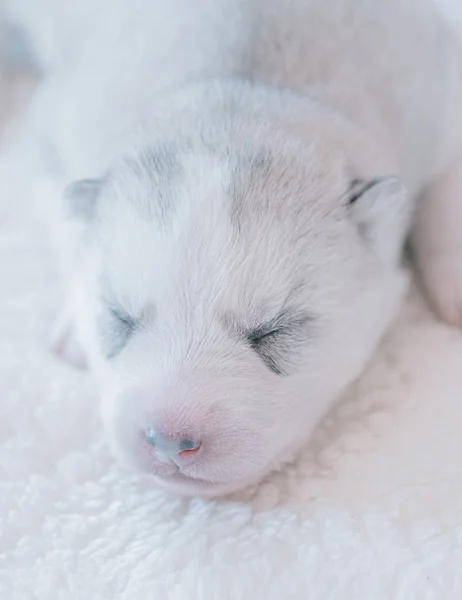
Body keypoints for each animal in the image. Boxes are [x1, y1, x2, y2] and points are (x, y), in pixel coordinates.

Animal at [3, 0, 462, 496]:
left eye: (275, 330)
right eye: (119, 317)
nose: (169, 441)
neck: (245, 94)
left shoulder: (438, 89)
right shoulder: (56, 126)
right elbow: (65, 210)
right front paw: (75, 323)